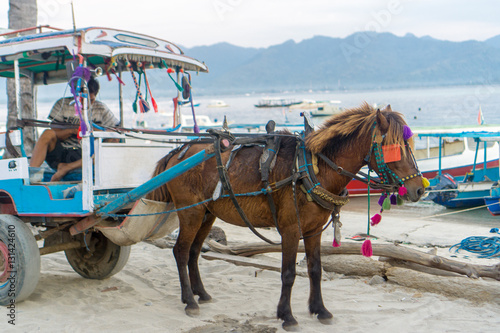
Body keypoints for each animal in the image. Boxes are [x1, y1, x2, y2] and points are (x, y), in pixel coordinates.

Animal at [146, 103, 424, 326]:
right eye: (394, 148)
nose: (420, 189)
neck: (313, 168)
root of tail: (178, 152)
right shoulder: (291, 228)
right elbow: (288, 273)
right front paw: (287, 316)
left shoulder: (313, 230)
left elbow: (315, 269)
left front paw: (320, 310)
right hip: (190, 212)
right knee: (181, 251)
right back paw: (189, 301)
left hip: (207, 213)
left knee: (194, 252)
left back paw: (201, 294)